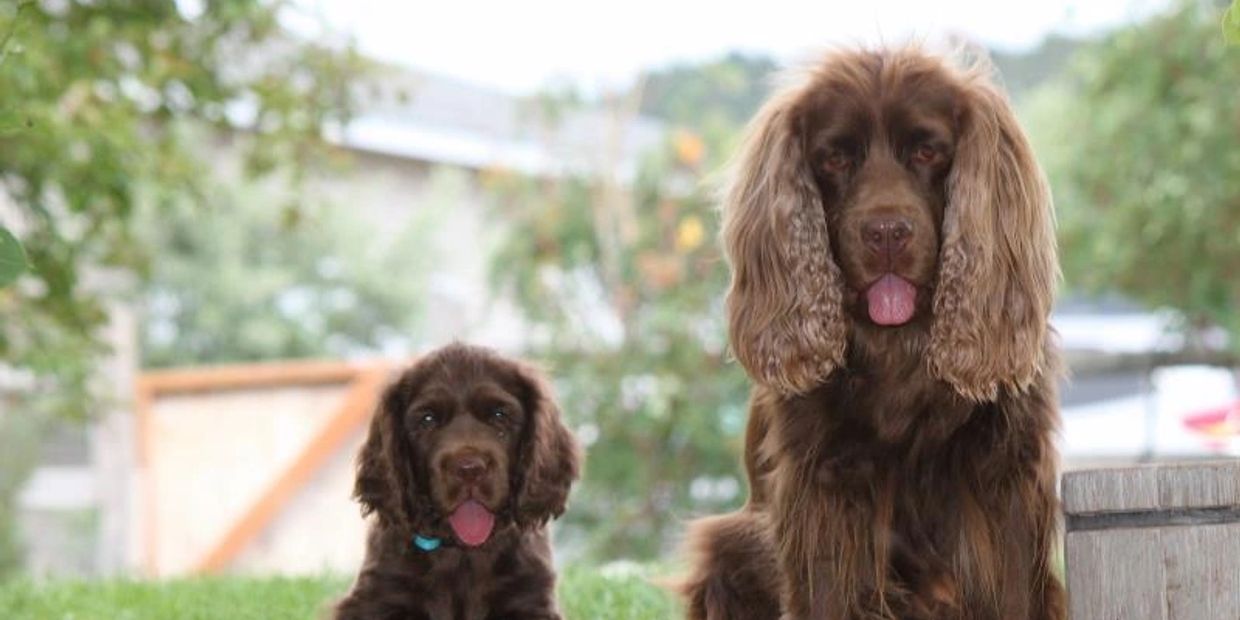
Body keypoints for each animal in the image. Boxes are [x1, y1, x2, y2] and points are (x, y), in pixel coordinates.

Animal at [332, 344, 577, 620]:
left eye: (499, 415)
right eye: (427, 419)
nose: (469, 469)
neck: (462, 552)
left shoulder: (530, 598)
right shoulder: (379, 598)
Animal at [679, 48, 1066, 620]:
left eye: (927, 150)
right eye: (835, 159)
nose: (886, 233)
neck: (898, 351)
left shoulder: (1003, 491)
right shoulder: (825, 501)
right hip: (729, 549)